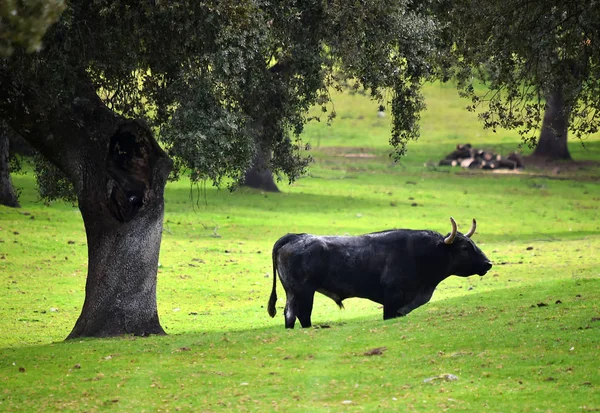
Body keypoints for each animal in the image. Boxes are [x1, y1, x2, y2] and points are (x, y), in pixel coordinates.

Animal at [268, 217, 492, 326]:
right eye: (464, 248)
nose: (488, 263)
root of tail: (296, 236)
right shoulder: (391, 302)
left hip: (293, 293)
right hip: (303, 292)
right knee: (300, 315)